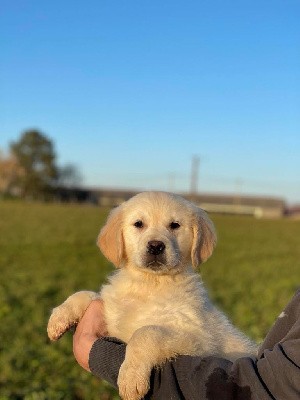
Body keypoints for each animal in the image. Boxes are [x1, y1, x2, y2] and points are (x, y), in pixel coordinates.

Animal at [47, 191, 258, 400]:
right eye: (139, 224)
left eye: (174, 225)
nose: (156, 246)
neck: (150, 283)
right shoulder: (112, 314)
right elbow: (87, 294)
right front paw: (58, 318)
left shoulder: (197, 338)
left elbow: (145, 333)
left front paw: (131, 379)